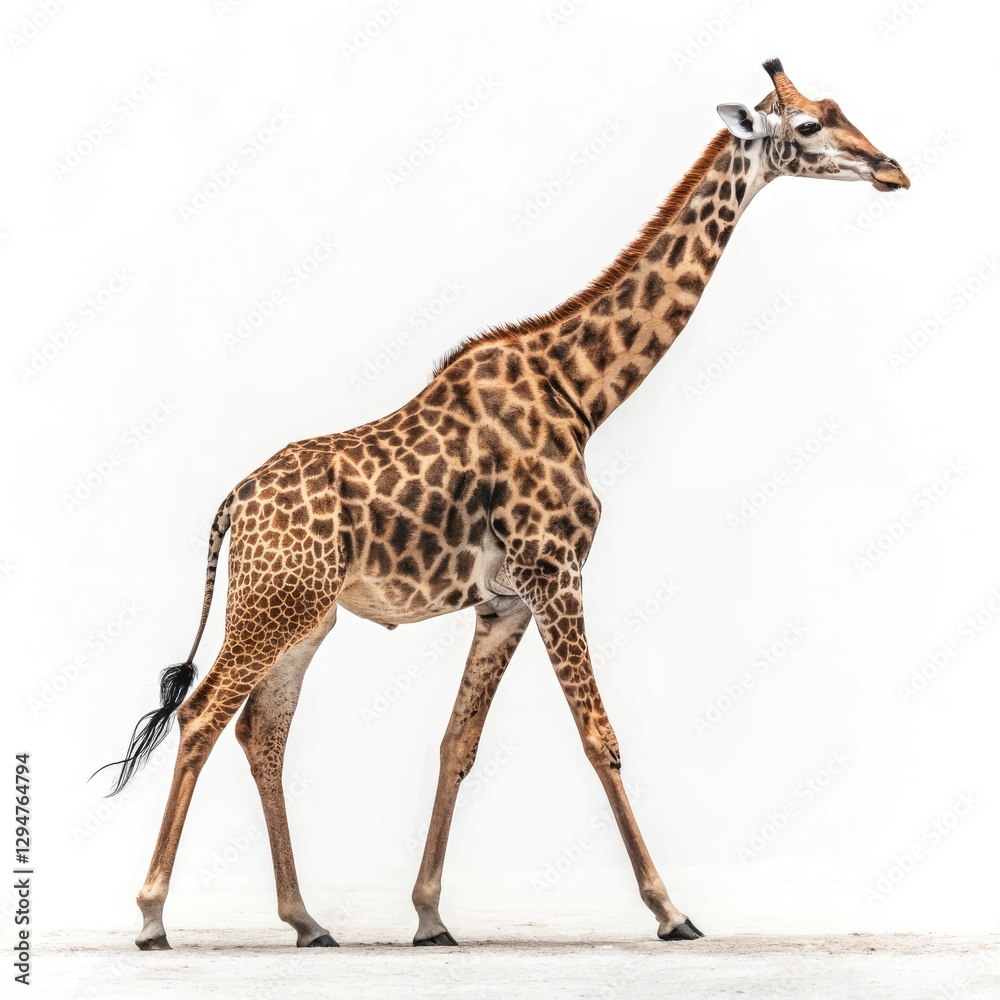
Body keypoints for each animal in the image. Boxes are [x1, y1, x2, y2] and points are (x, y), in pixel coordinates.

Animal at [99, 59, 910, 950]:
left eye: (837, 109)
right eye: (807, 126)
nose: (891, 169)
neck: (582, 393)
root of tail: (231, 506)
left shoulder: (505, 601)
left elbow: (458, 744)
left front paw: (429, 916)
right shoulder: (556, 571)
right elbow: (600, 737)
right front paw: (672, 910)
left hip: (304, 615)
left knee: (261, 730)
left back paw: (307, 920)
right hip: (270, 605)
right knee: (203, 715)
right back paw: (152, 916)